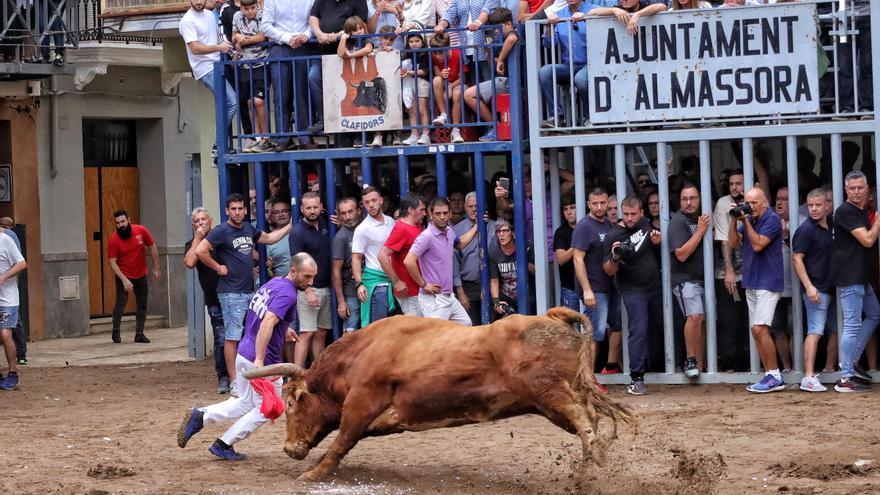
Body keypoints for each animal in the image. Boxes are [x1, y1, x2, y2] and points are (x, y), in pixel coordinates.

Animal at [244, 306, 636, 480]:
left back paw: (589, 465)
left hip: (550, 394)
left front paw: (313, 473)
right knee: (591, 415)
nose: (289, 448)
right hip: (554, 400)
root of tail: (554, 318)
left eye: (292, 402)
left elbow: (342, 440)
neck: (361, 352)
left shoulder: (361, 402)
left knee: (584, 419)